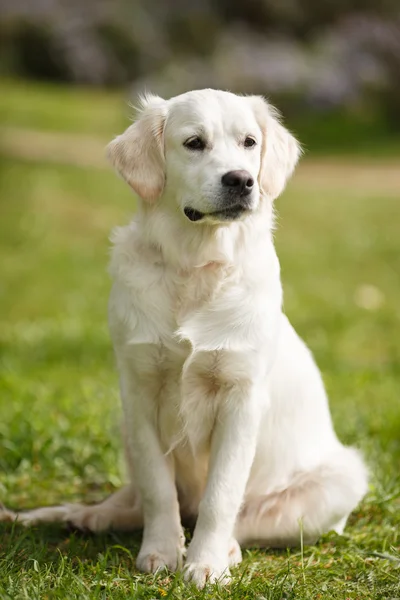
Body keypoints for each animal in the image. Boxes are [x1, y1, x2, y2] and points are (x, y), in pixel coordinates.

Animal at [1, 91, 368, 588]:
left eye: (250, 142)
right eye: (194, 143)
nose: (242, 180)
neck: (196, 267)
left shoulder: (240, 398)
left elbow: (221, 495)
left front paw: (206, 562)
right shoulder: (139, 392)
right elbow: (158, 490)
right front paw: (159, 553)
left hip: (341, 481)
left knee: (246, 520)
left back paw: (224, 548)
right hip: (124, 428)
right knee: (136, 500)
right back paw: (87, 515)